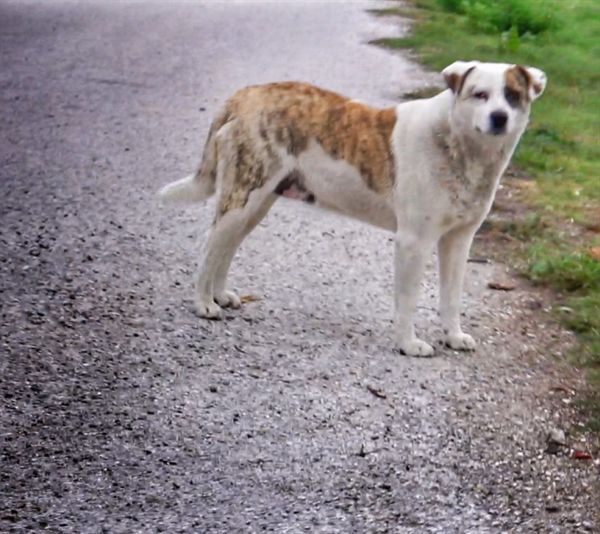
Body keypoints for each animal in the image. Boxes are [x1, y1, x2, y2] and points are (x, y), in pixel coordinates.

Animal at [158, 61, 544, 356]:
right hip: (243, 197)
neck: (460, 146)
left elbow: (451, 297)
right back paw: (203, 304)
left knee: (226, 248)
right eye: (479, 94)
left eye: (513, 96)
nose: (499, 117)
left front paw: (453, 336)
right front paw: (408, 344)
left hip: (256, 204)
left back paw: (220, 296)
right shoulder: (413, 242)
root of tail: (243, 95)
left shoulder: (458, 242)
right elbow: (408, 299)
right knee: (209, 247)